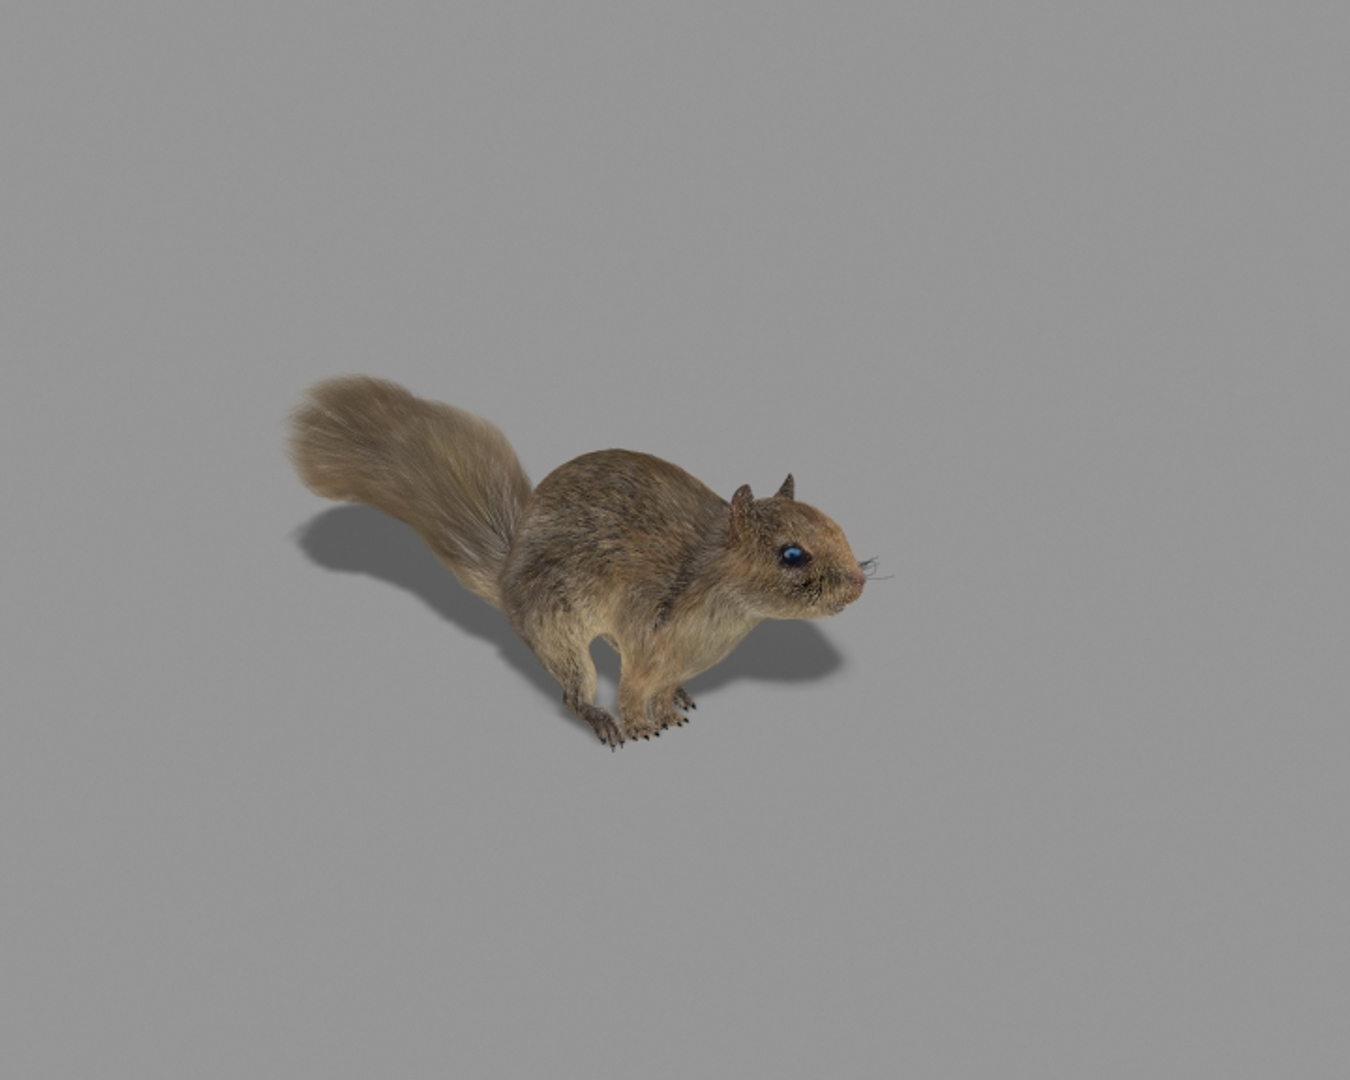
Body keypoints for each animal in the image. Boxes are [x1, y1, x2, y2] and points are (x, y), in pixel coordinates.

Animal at [288, 376, 867, 748]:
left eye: (837, 527)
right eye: (791, 554)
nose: (859, 584)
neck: (724, 616)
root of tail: (506, 579)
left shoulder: (663, 654)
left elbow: (660, 686)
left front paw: (671, 705)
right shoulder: (645, 632)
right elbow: (634, 690)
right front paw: (641, 725)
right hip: (557, 628)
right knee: (573, 690)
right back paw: (599, 717)